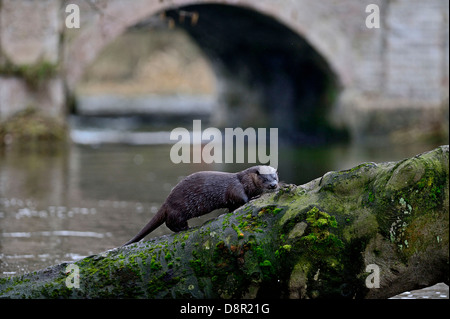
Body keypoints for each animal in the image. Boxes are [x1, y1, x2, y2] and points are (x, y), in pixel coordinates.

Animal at [123, 166, 278, 246]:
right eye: (265, 178)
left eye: (275, 177)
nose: (274, 185)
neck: (245, 181)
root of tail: (167, 201)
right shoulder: (236, 187)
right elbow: (241, 198)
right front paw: (253, 198)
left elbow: (231, 207)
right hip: (178, 209)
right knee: (170, 222)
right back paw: (185, 228)